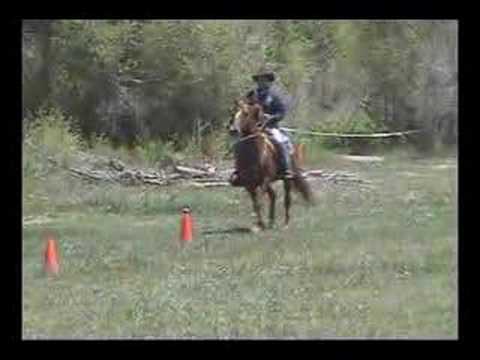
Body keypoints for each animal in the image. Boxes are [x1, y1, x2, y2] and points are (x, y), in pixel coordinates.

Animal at [229, 97, 316, 231]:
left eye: (246, 113)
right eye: (233, 113)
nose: (232, 130)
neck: (253, 153)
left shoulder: (265, 179)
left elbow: (259, 200)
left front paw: (259, 226)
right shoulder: (248, 183)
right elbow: (256, 203)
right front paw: (260, 224)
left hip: (286, 180)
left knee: (287, 199)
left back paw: (286, 223)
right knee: (273, 196)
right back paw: (271, 222)